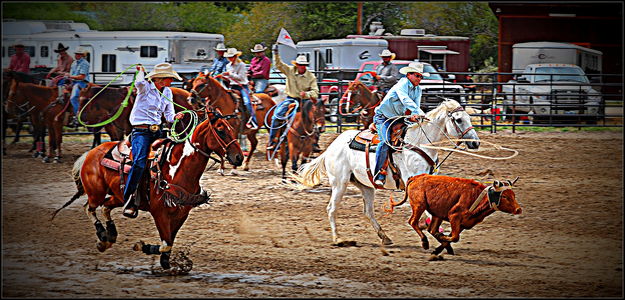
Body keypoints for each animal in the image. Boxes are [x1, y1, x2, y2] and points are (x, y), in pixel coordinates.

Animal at [51, 108, 244, 270]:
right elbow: (166, 243)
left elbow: (169, 244)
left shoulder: (181, 213)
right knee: (89, 208)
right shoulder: (160, 213)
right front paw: (141, 246)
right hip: (96, 193)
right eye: (220, 130)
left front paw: (167, 262)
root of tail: (89, 154)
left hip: (119, 196)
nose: (239, 158)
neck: (177, 169)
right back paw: (102, 237)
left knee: (105, 207)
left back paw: (109, 237)